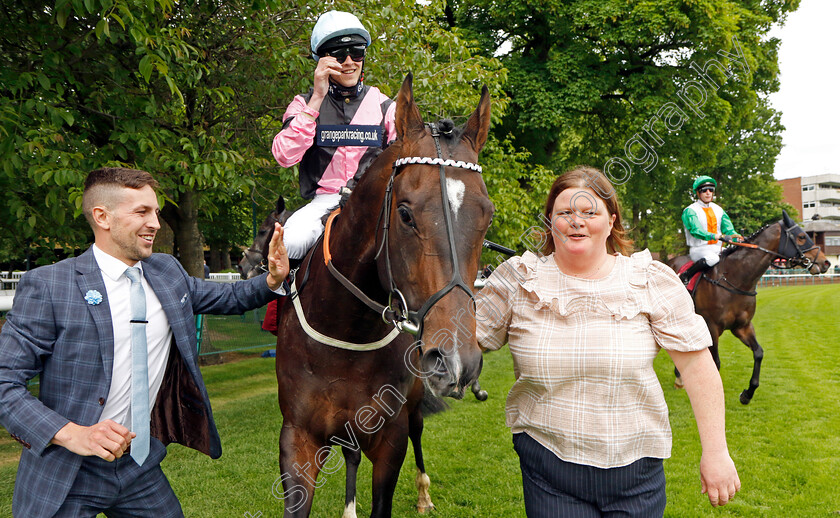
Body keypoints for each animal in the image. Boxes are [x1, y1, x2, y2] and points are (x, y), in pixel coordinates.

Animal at [243, 75, 492, 516]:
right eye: (405, 214)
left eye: (487, 215)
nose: (455, 360)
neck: (347, 329)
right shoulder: (298, 438)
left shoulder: (389, 437)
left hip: (412, 403)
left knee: (417, 432)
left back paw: (423, 493)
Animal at [668, 211, 832, 406]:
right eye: (801, 237)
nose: (826, 262)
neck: (734, 278)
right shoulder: (712, 327)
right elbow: (716, 362)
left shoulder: (742, 326)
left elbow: (758, 353)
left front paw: (747, 393)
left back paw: (679, 377)